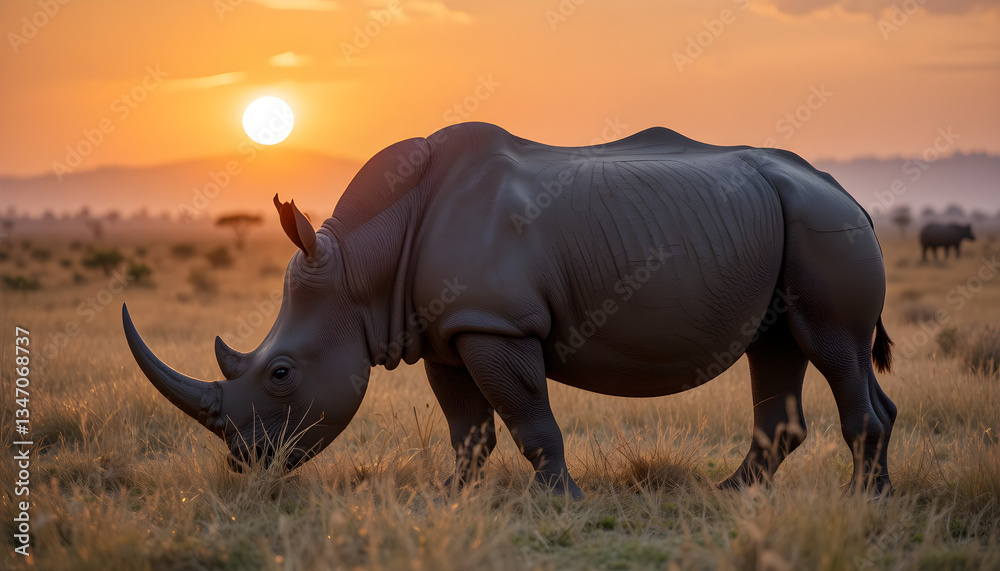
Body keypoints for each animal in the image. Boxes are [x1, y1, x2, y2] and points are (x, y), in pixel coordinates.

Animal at [123, 122, 897, 497]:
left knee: (831, 345)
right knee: (780, 347)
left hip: (822, 224)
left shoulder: (495, 322)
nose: (243, 462)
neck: (362, 265)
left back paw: (863, 501)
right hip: (788, 224)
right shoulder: (443, 328)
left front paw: (563, 502)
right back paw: (734, 494)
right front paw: (449, 496)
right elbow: (468, 428)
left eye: (281, 373)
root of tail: (849, 193)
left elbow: (529, 417)